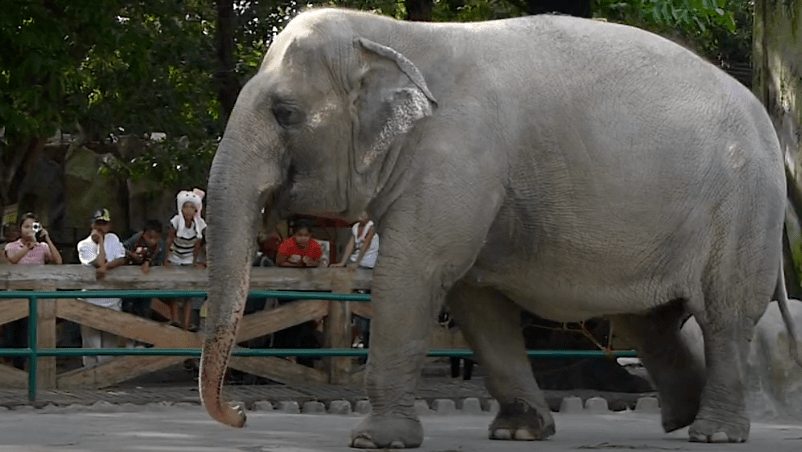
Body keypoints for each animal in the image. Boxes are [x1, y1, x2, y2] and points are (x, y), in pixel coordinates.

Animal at [198, 7, 802, 448]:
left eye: (285, 114)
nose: (240, 416)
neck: (396, 34)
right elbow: (474, 297)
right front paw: (518, 433)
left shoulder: (460, 155)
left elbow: (414, 272)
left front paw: (376, 441)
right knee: (647, 322)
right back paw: (680, 422)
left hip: (743, 209)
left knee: (721, 317)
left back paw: (714, 434)